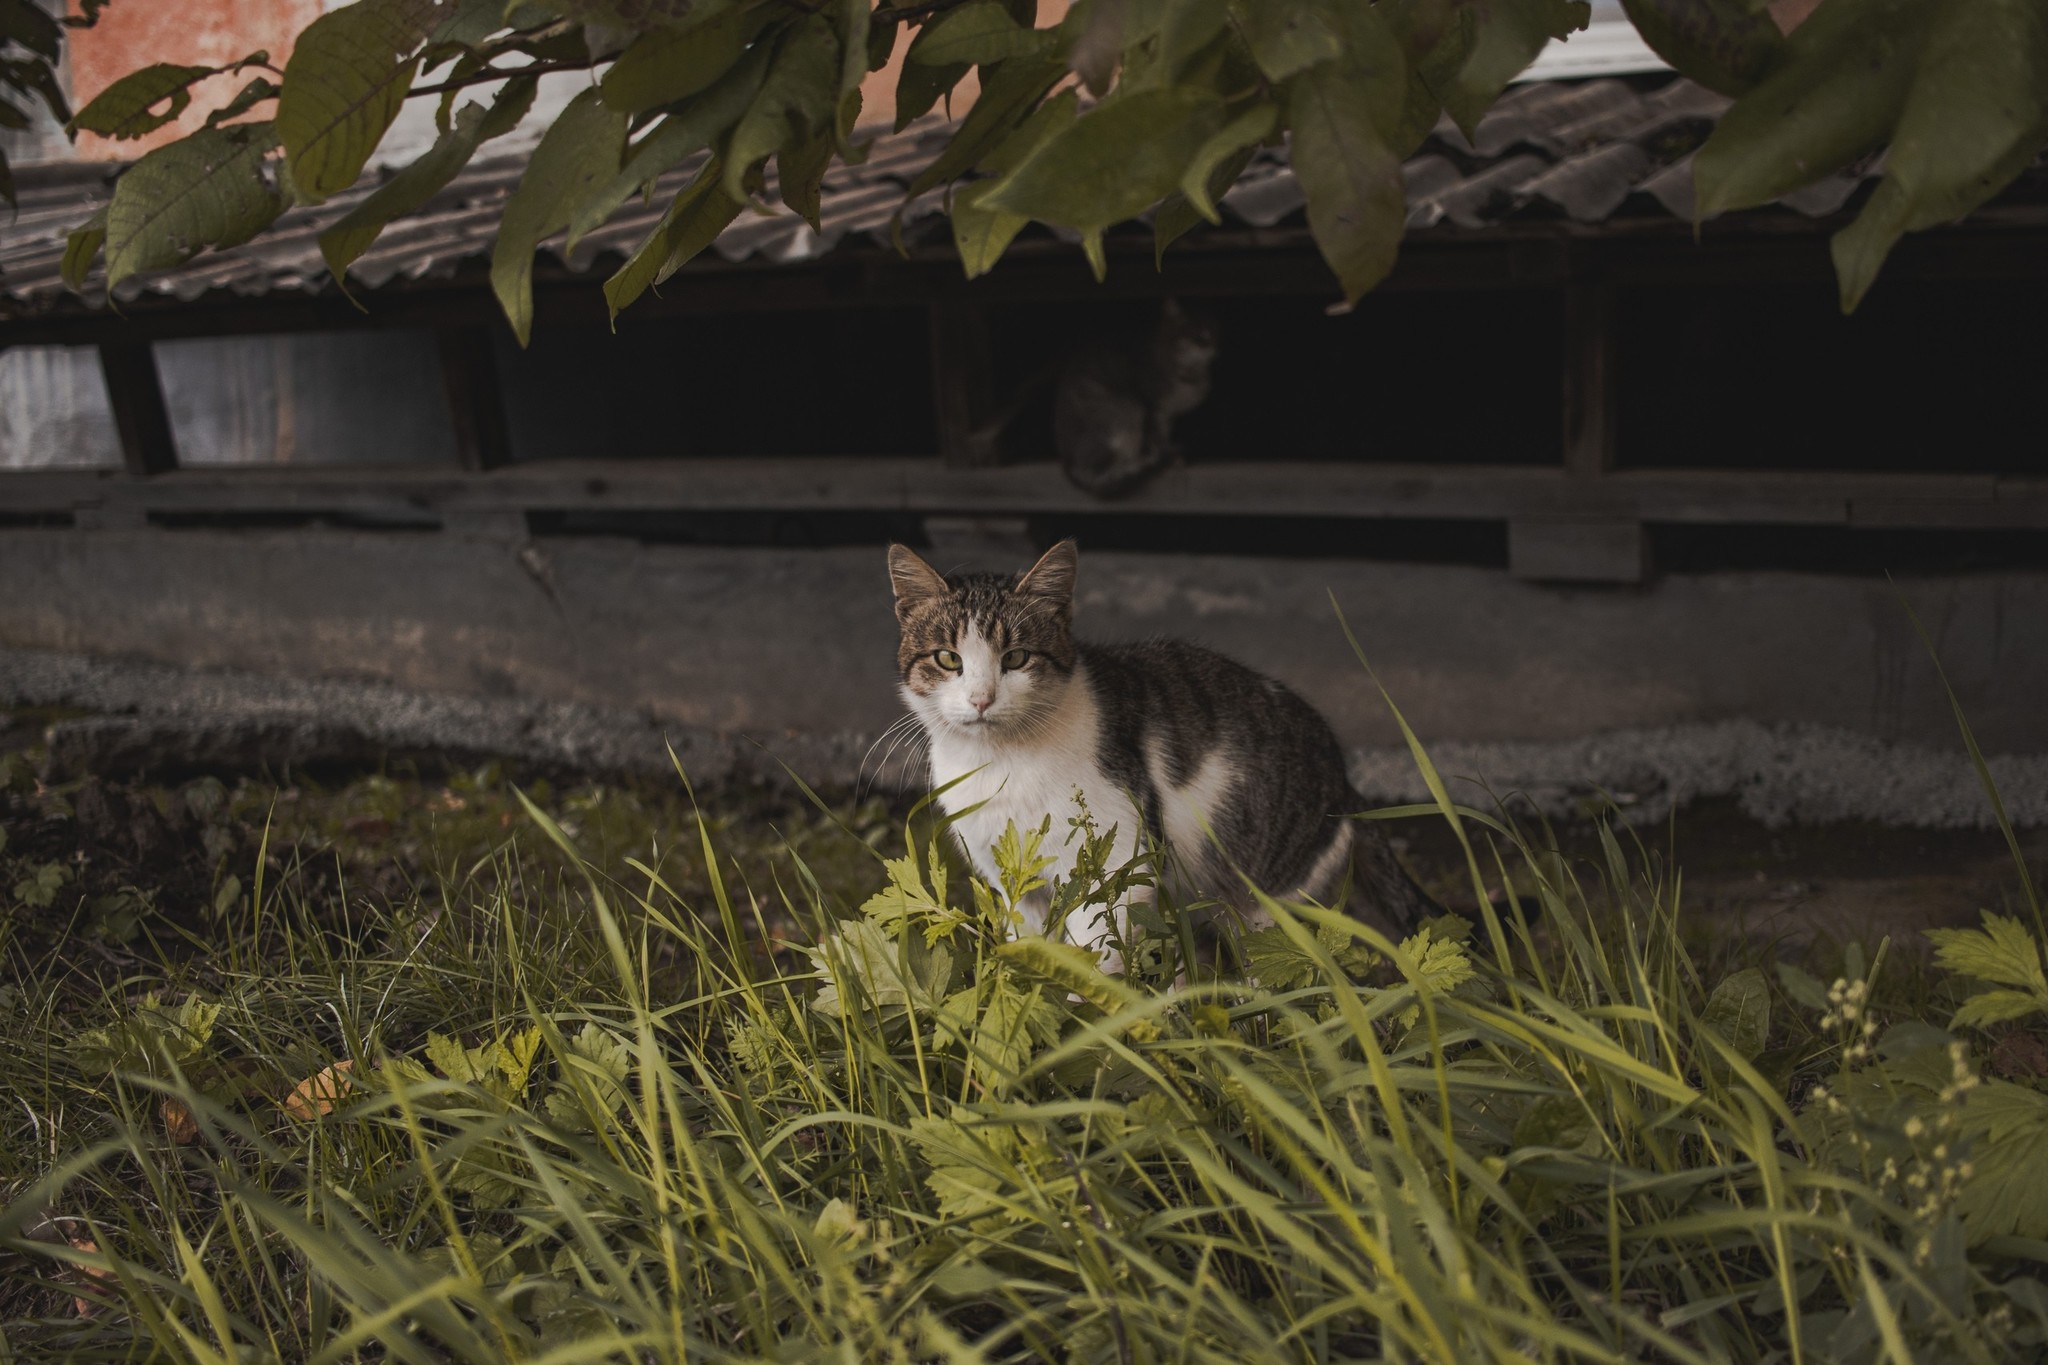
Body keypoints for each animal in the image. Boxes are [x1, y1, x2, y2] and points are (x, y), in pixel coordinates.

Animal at [888, 540, 1433, 965]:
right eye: (948, 659)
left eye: (1016, 657)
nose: (981, 698)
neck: (999, 763)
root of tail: (1346, 784)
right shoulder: (1014, 888)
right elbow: (1041, 956)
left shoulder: (1116, 871)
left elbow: (1094, 963)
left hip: (1271, 906)